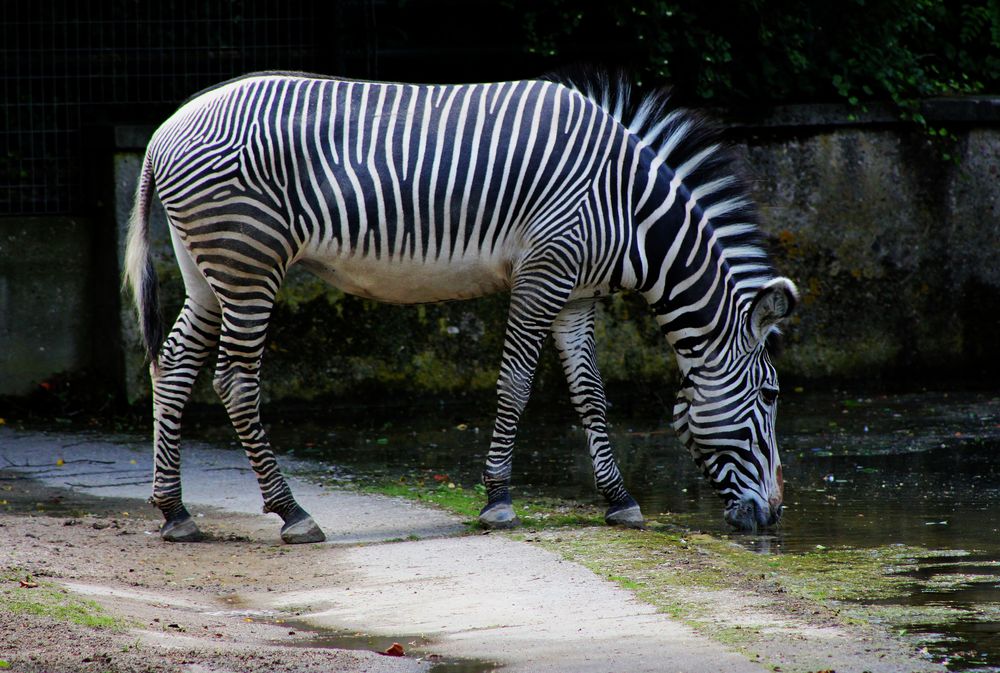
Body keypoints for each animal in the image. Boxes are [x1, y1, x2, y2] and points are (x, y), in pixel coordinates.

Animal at [123, 69, 796, 540]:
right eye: (769, 396)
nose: (774, 517)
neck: (629, 208)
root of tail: (161, 131)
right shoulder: (543, 272)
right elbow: (516, 385)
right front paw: (498, 500)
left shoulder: (576, 295)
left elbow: (591, 396)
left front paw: (620, 501)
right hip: (248, 261)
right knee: (235, 382)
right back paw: (292, 514)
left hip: (207, 268)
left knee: (174, 364)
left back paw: (175, 512)